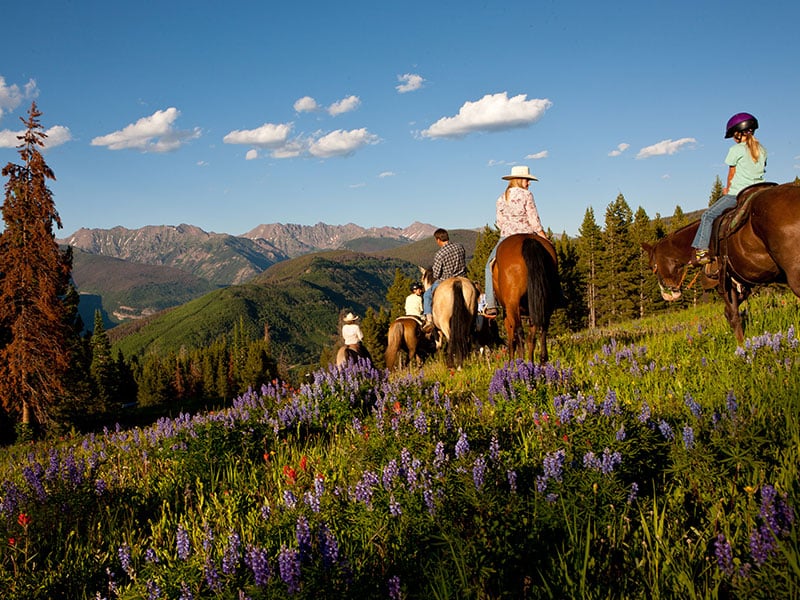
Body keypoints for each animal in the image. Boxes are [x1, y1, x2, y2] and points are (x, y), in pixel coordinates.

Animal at [494, 233, 564, 366]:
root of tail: (528, 240)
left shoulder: (507, 313)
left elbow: (511, 340)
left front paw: (511, 364)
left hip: (512, 305)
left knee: (520, 335)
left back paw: (521, 363)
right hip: (542, 304)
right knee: (539, 332)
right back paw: (540, 361)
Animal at [640, 180, 800, 342]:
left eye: (651, 266)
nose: (668, 295)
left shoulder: (721, 283)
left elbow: (732, 315)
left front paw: (741, 345)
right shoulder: (739, 283)